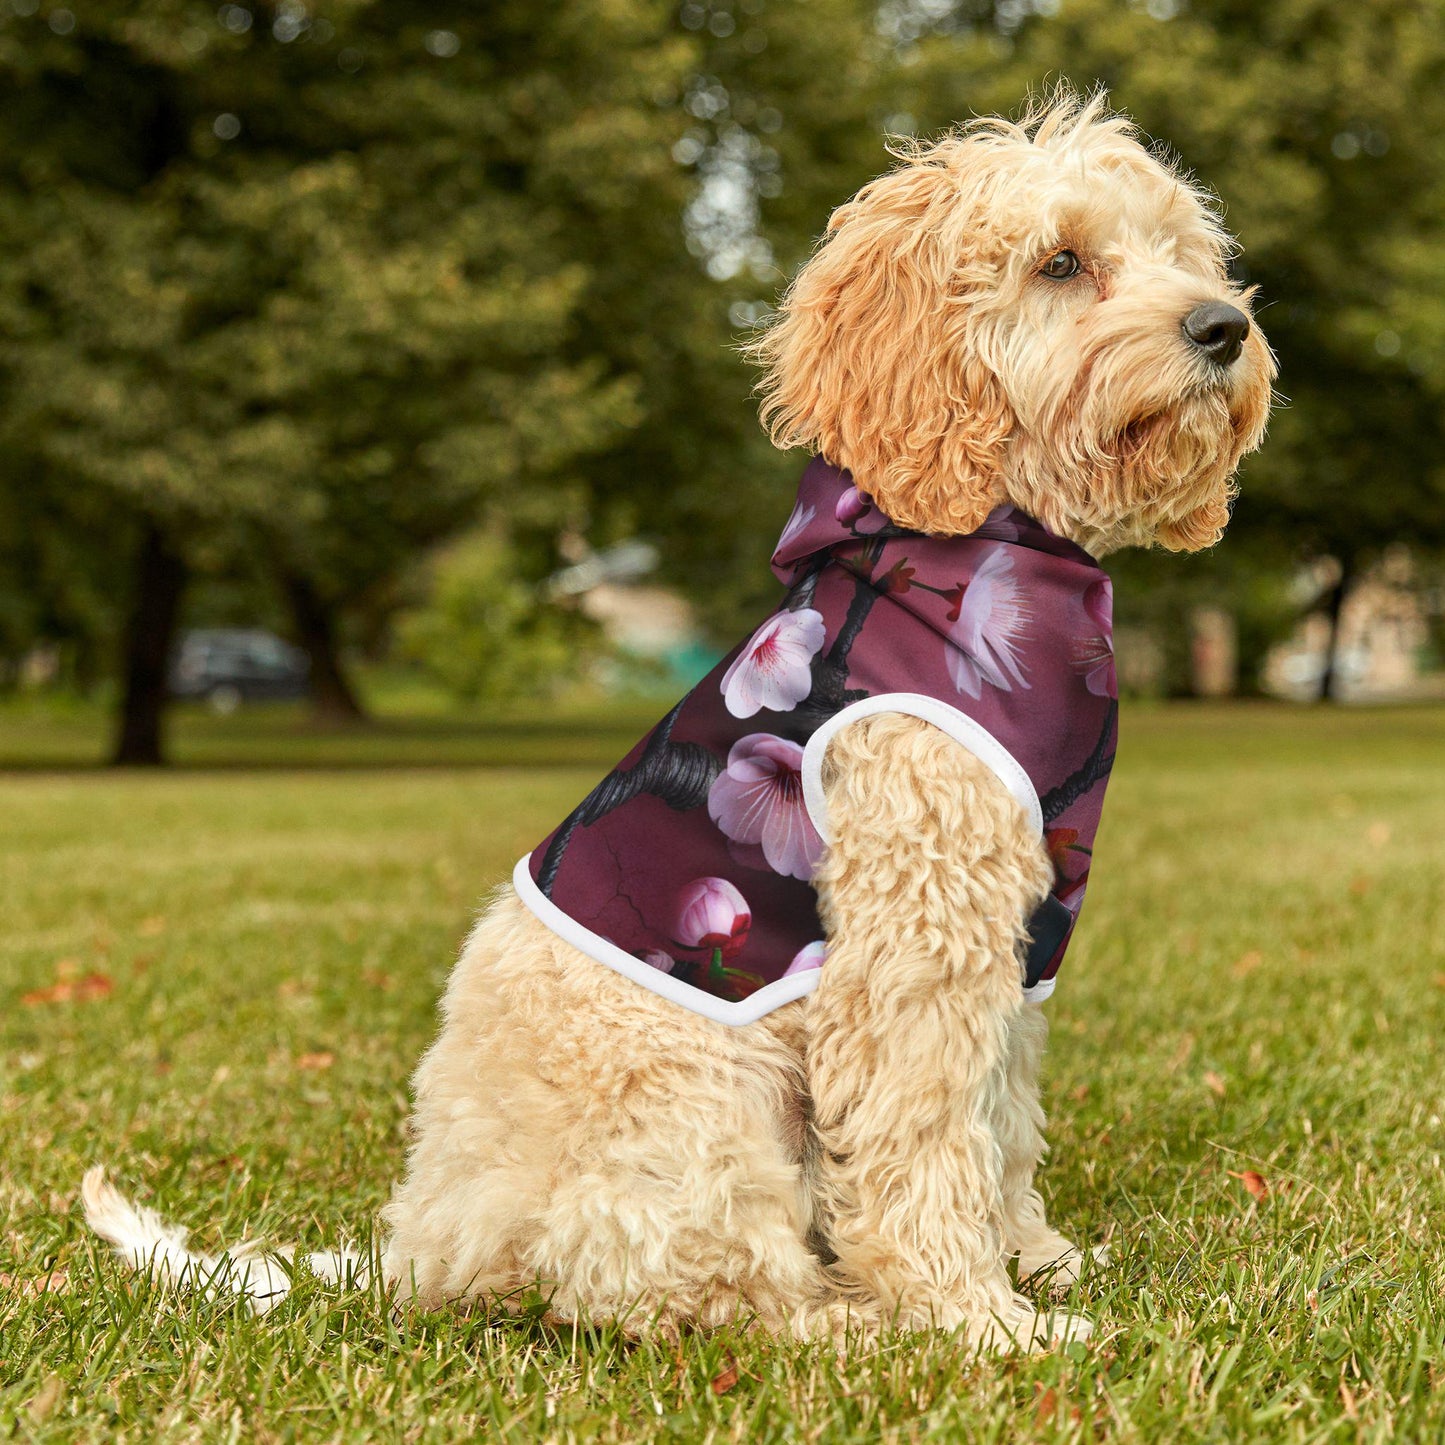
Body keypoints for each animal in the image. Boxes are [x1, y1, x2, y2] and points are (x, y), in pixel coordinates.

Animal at [84, 93, 1271, 1352]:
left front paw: (1034, 1260)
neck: (989, 551)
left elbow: (998, 1119)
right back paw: (852, 1322)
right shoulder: (911, 939)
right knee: (699, 1291)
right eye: (1060, 262)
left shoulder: (1017, 932)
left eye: (1181, 252)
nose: (1222, 327)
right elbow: (924, 1136)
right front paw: (976, 1318)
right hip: (704, 1102)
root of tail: (423, 1247)